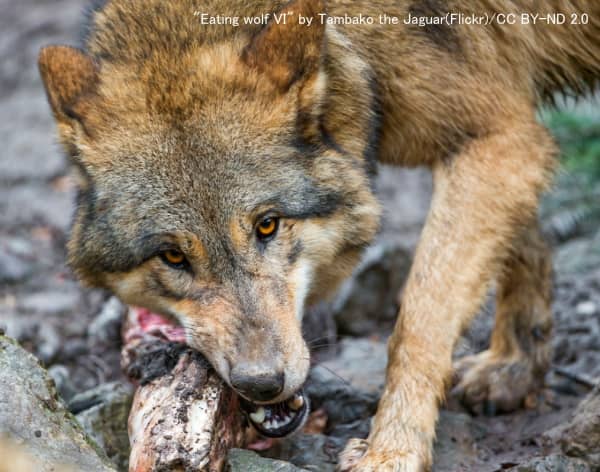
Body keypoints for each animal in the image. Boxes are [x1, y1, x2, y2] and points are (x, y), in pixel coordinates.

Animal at [39, 1, 596, 470]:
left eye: (267, 225)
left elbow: (417, 323)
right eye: (173, 256)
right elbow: (524, 243)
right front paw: (516, 368)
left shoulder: (496, 140)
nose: (261, 383)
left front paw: (391, 453)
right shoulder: (506, 141)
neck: (355, 49)